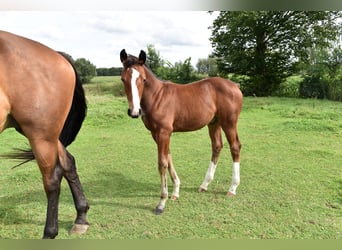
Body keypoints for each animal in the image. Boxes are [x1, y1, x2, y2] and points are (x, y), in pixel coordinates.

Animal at [0, 30, 89, 238]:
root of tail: (58, 55)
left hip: (41, 135)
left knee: (52, 180)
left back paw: (50, 232)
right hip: (46, 134)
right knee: (68, 163)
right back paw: (81, 217)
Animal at [120, 49, 243, 215]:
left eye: (143, 79)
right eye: (123, 79)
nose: (134, 111)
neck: (157, 97)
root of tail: (235, 85)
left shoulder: (164, 132)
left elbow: (162, 163)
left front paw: (161, 202)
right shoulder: (156, 134)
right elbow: (168, 158)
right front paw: (175, 191)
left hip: (229, 122)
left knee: (235, 146)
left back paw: (232, 188)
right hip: (214, 123)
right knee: (217, 146)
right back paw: (204, 185)